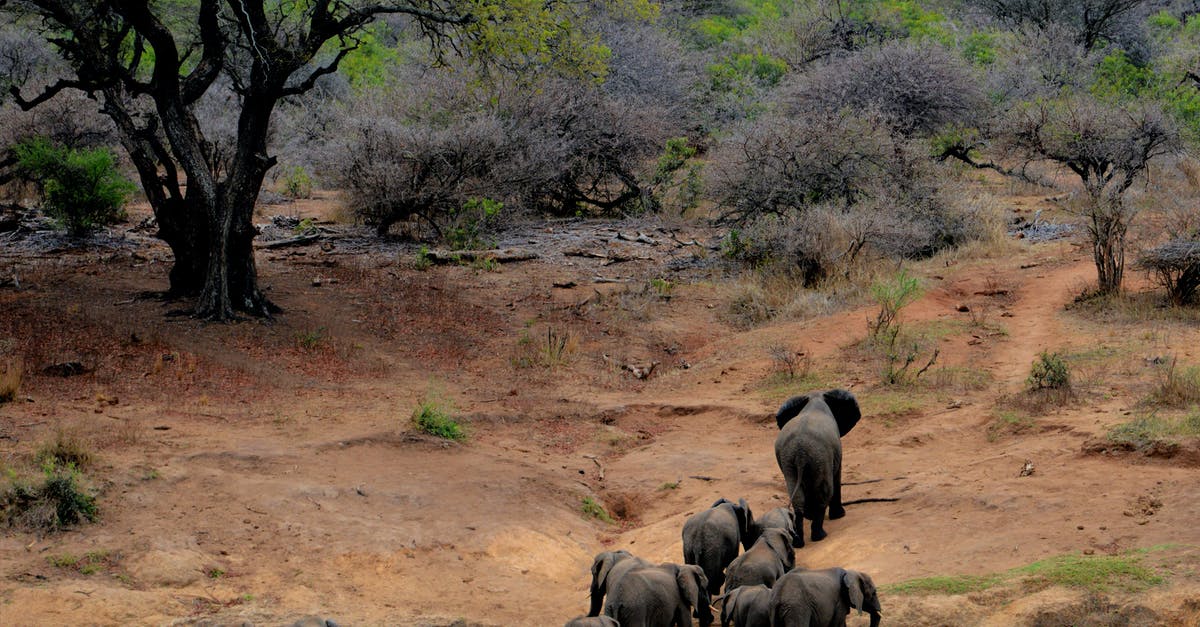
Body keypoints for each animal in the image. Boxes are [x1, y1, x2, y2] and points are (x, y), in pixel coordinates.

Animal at [777, 386, 864, 542]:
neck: (815, 398)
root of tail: (800, 452)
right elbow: (837, 476)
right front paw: (839, 516)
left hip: (789, 459)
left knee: (797, 495)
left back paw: (799, 541)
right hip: (820, 456)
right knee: (824, 492)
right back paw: (820, 536)